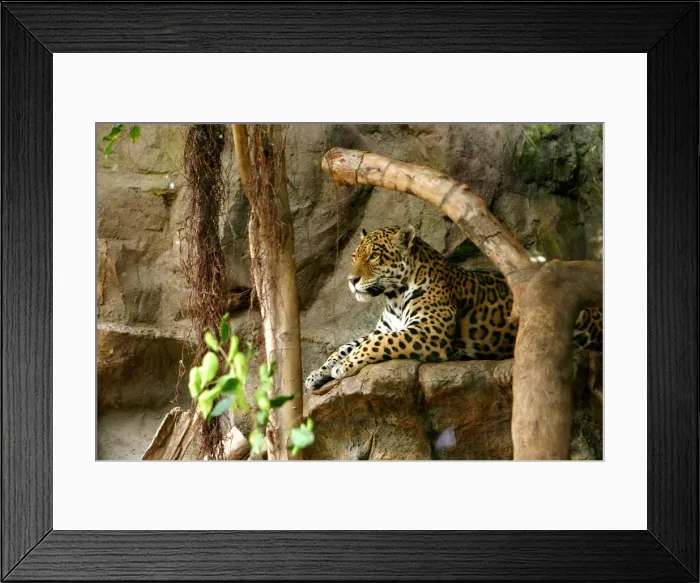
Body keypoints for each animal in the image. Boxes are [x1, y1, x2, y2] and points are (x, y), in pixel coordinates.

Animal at [304, 225, 603, 391]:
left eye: (375, 256)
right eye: (355, 256)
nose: (351, 280)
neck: (393, 297)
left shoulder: (428, 333)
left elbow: (376, 344)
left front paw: (344, 366)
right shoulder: (385, 328)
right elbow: (345, 345)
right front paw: (317, 373)